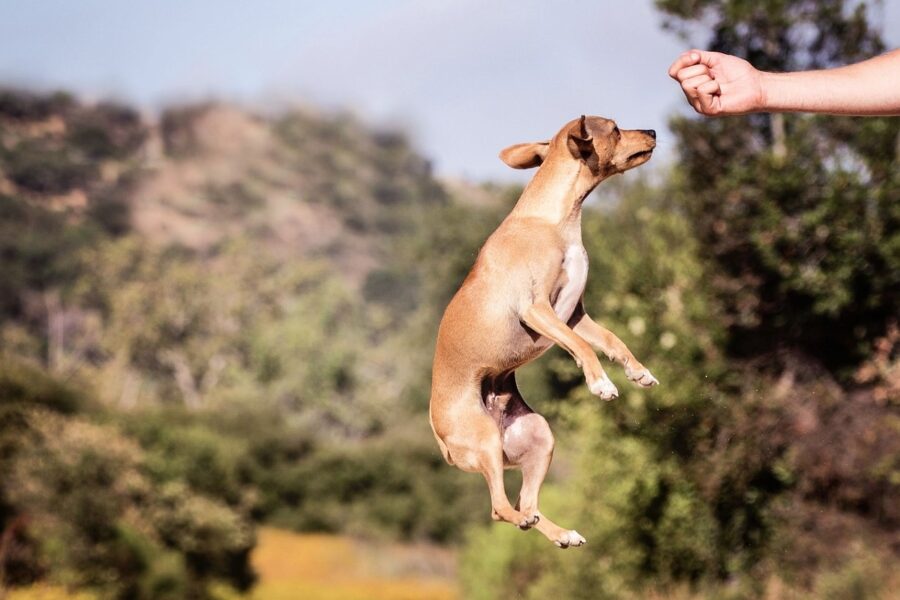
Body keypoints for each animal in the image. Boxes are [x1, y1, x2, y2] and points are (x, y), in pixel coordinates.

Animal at [428, 116, 660, 548]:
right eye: (615, 128)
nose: (653, 132)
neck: (554, 221)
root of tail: (441, 439)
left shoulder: (574, 315)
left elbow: (611, 340)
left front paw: (638, 372)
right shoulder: (539, 309)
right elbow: (583, 348)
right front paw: (601, 384)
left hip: (538, 438)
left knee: (527, 501)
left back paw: (561, 533)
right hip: (484, 440)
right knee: (502, 508)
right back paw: (527, 521)